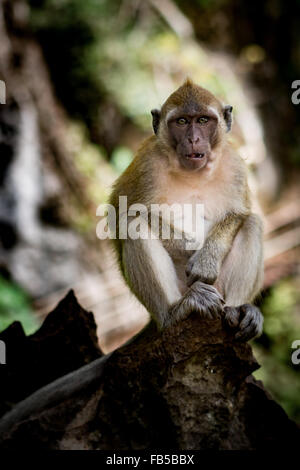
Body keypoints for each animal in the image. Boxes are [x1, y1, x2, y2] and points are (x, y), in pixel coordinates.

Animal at [108, 78, 262, 342]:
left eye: (202, 120)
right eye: (181, 121)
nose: (193, 139)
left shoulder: (234, 164)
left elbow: (239, 213)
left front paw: (206, 259)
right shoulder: (146, 165)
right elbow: (120, 215)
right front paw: (188, 247)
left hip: (219, 289)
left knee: (252, 223)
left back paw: (238, 311)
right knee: (134, 224)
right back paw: (175, 311)